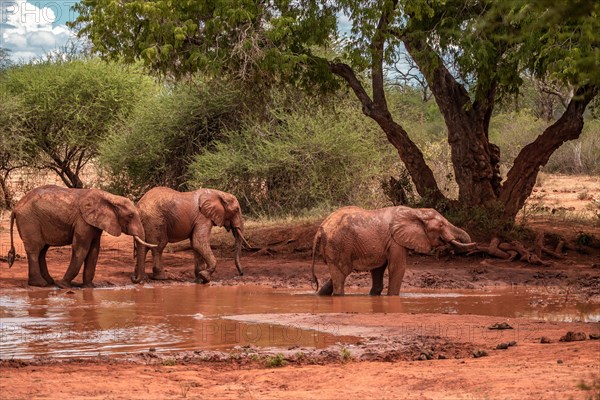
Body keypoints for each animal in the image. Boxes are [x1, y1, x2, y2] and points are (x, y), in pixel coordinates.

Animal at [7, 184, 157, 288]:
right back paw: (40, 284)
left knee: (42, 250)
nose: (133, 278)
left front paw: (89, 287)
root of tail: (16, 207)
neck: (110, 197)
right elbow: (81, 249)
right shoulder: (83, 221)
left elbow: (94, 250)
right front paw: (63, 286)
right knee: (35, 249)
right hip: (29, 220)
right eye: (130, 216)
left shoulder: (95, 223)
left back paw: (49, 282)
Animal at [310, 208, 474, 296]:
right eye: (441, 225)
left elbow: (378, 269)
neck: (416, 211)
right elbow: (398, 268)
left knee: (338, 274)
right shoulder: (396, 241)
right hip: (338, 245)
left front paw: (375, 295)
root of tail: (320, 229)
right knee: (341, 276)